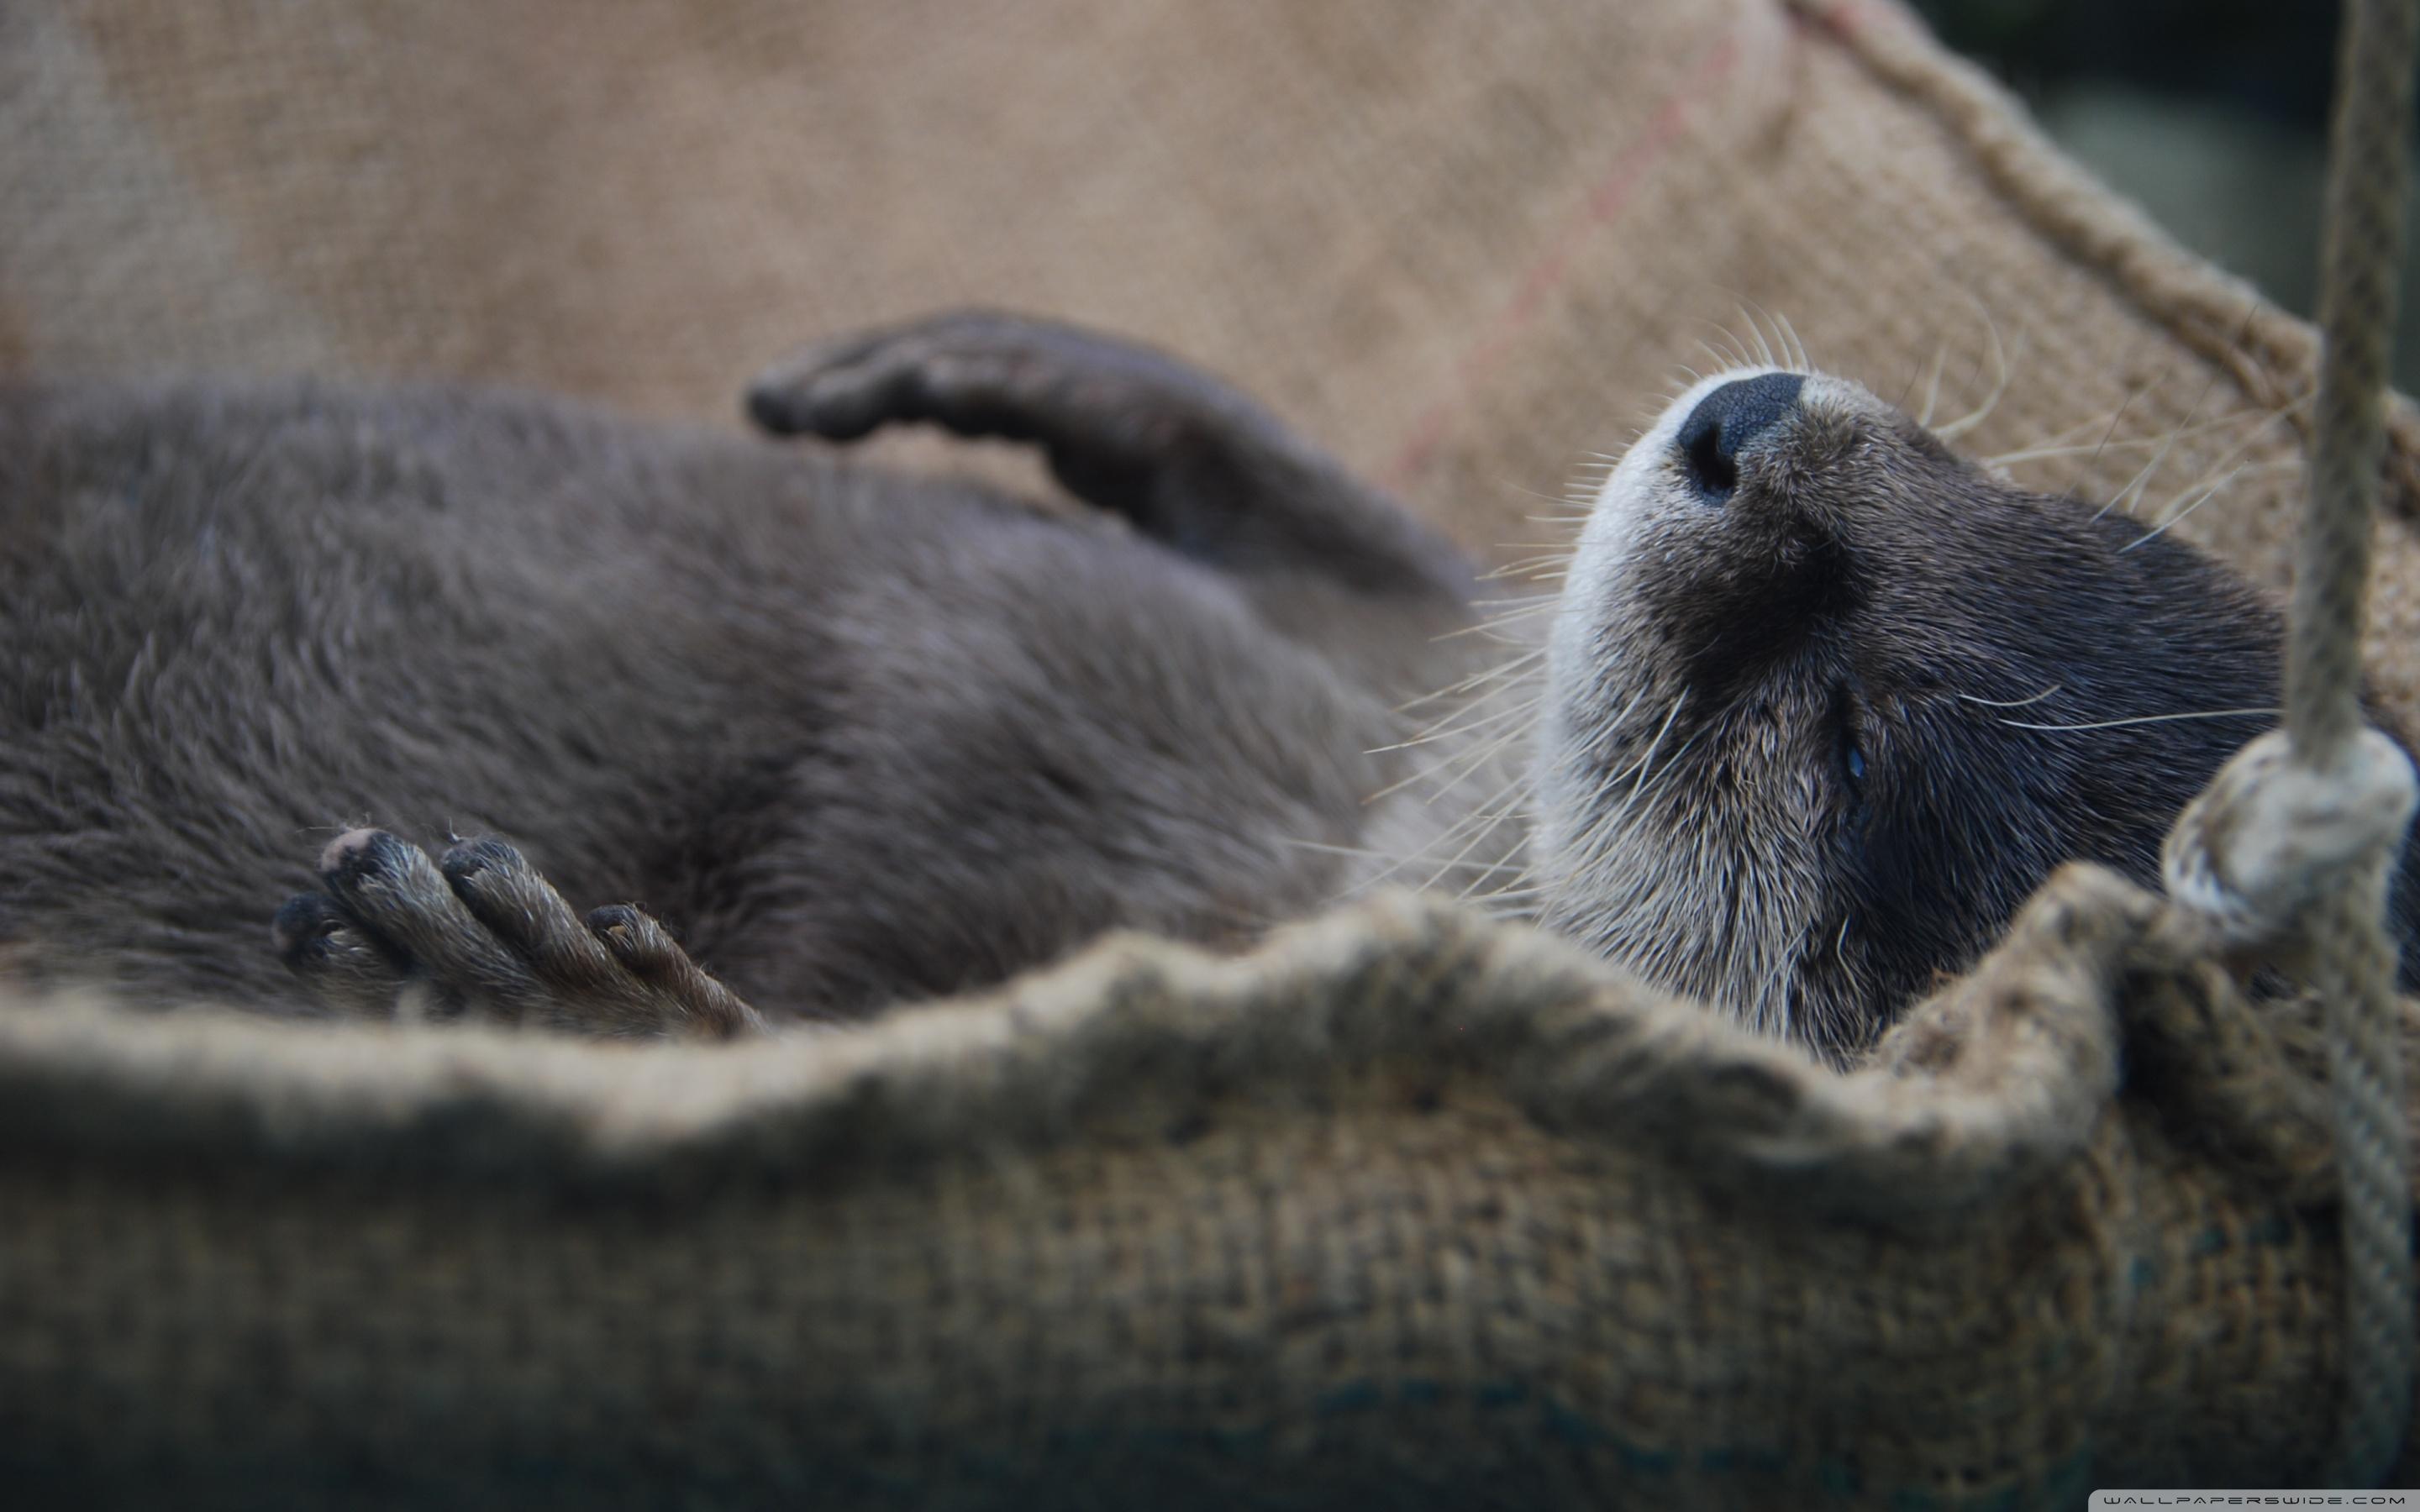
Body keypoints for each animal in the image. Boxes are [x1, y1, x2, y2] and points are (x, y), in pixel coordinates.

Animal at [0, 312, 2411, 1061]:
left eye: (1846, 737)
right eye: (1999, 482)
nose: (1747, 430)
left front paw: (548, 999)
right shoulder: (1353, 701)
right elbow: (1379, 572)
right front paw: (1042, 377)